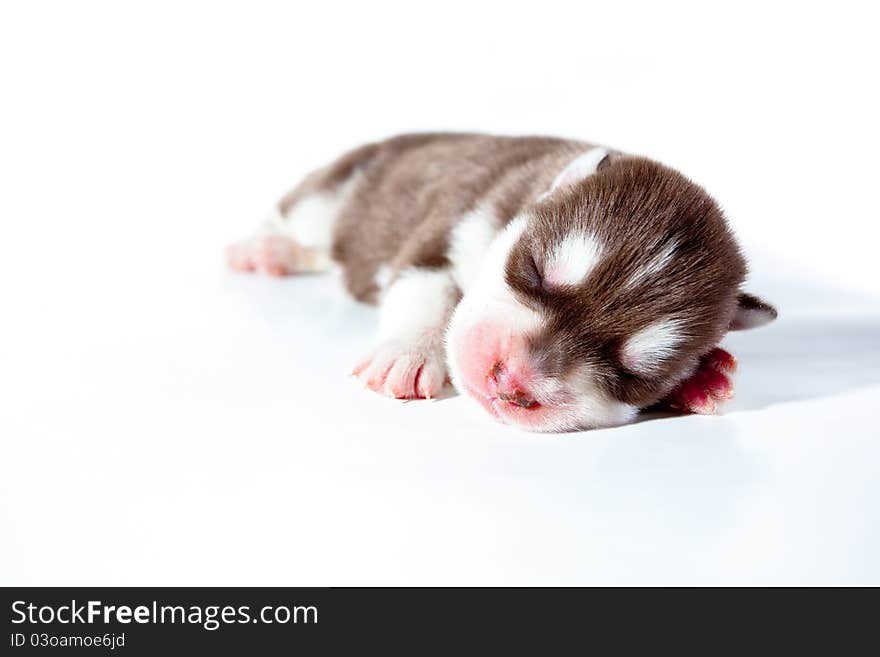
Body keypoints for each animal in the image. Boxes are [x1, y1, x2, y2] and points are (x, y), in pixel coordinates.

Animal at [229, 132, 776, 430]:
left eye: (631, 375)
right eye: (535, 271)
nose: (512, 383)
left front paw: (702, 380)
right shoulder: (447, 228)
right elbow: (426, 290)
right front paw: (407, 353)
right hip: (336, 190)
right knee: (302, 219)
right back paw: (263, 248)